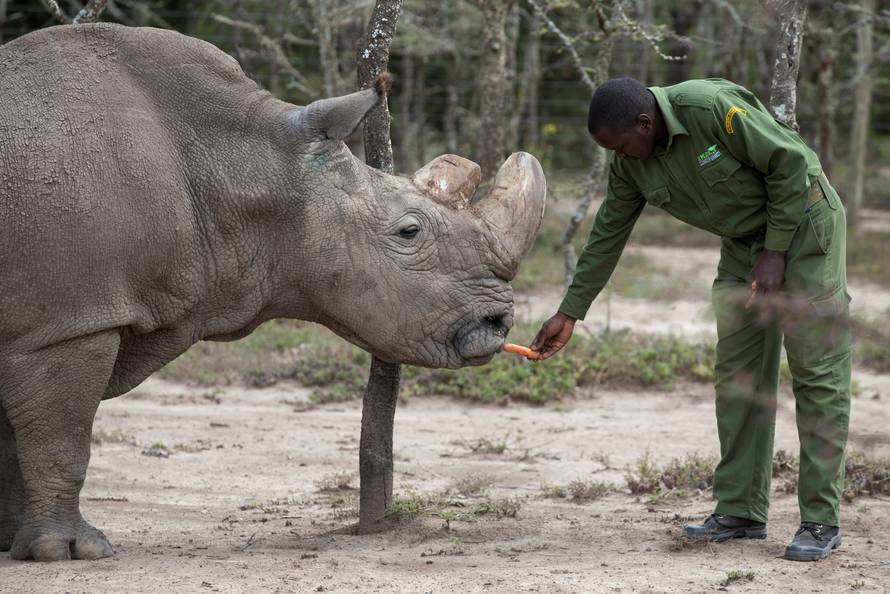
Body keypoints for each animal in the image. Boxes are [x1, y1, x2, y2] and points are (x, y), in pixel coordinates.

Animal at [0, 23, 546, 561]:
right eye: (409, 232)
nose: (500, 322)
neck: (245, 160)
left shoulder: (32, 325)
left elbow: (15, 442)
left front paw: (12, 543)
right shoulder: (66, 322)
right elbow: (61, 440)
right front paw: (69, 550)